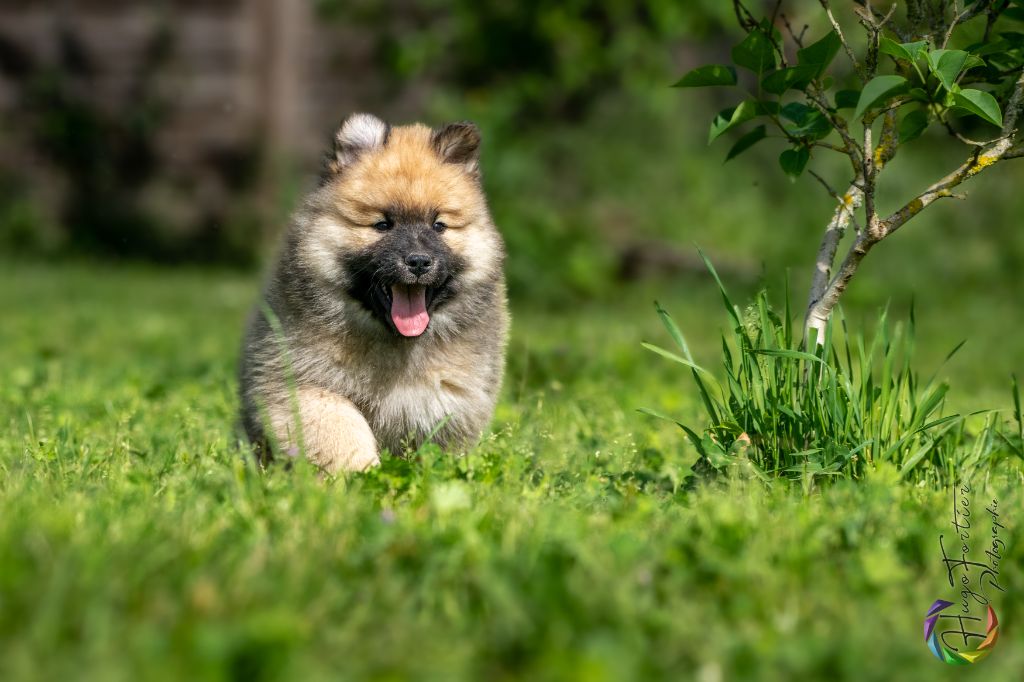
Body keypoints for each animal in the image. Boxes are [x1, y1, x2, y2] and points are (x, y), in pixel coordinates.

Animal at [240, 112, 512, 473]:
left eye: (438, 225)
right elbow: (341, 428)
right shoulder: (301, 384)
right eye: (383, 225)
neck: (396, 344)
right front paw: (358, 474)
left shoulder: (447, 398)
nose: (419, 261)